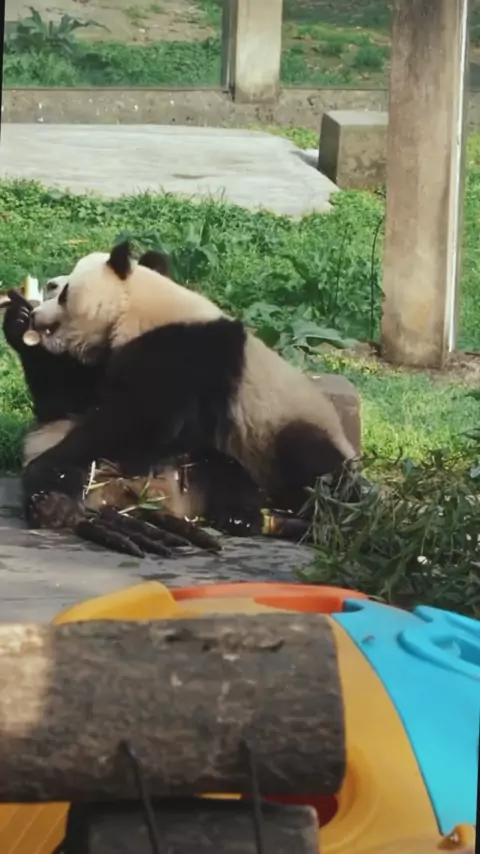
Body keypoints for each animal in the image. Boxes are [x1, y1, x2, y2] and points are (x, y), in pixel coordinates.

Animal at [23, 240, 357, 535]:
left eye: (65, 292)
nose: (39, 308)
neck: (136, 305)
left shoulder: (179, 353)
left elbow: (139, 420)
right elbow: (75, 400)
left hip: (279, 431)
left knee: (310, 464)